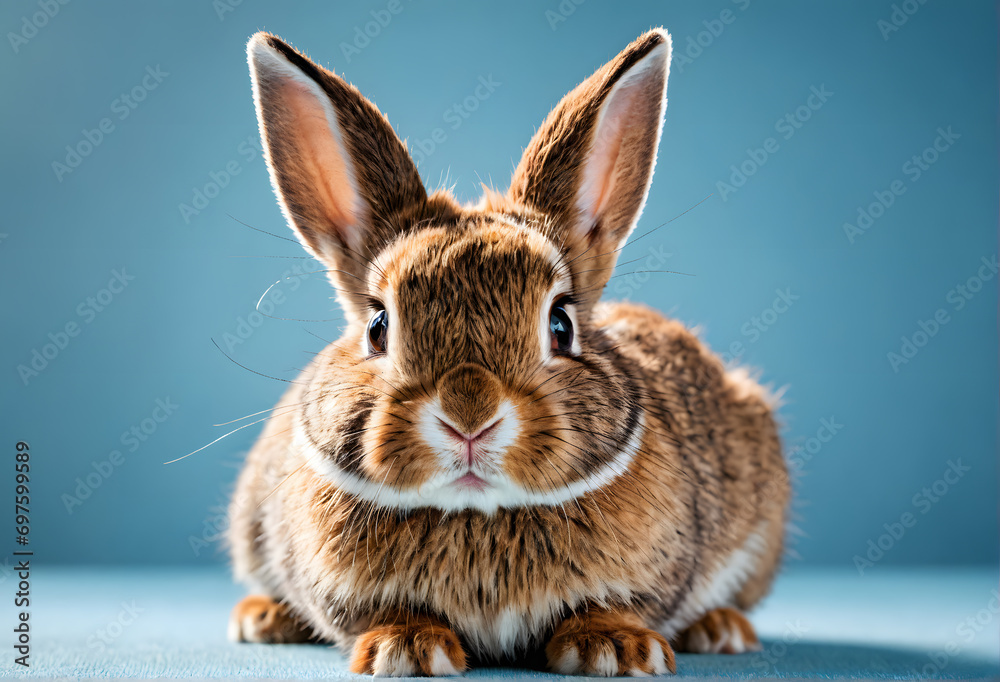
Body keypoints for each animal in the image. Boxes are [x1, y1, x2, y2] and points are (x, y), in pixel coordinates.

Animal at [227, 27, 790, 677]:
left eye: (561, 324)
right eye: (378, 327)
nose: (469, 417)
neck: (480, 511)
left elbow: (615, 607)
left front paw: (614, 648)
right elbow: (381, 615)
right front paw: (407, 648)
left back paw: (721, 629)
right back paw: (263, 618)